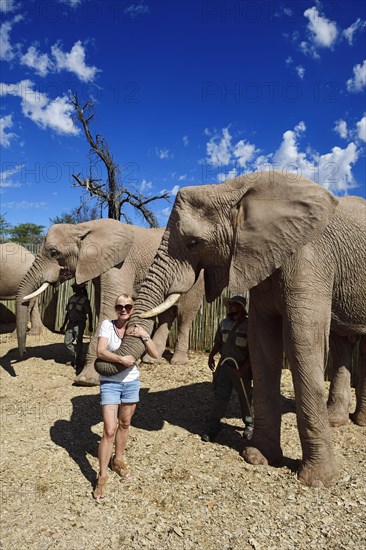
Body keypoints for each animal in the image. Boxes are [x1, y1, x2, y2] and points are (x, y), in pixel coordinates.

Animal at [16, 220, 203, 388]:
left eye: (54, 253)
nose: (23, 353)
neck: (83, 227)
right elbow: (102, 308)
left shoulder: (121, 264)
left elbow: (110, 308)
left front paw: (85, 380)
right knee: (166, 312)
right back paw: (151, 360)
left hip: (194, 277)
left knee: (186, 314)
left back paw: (177, 361)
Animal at [97, 171, 366, 488]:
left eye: (193, 242)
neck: (237, 187)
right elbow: (262, 344)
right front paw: (257, 457)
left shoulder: (310, 257)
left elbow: (303, 343)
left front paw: (317, 481)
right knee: (343, 343)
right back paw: (340, 421)